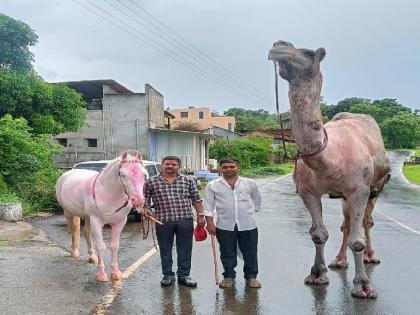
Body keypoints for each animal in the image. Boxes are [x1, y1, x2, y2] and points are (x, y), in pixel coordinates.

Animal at [55, 152, 148, 282]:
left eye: (144, 174)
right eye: (123, 174)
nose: (139, 200)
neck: (108, 193)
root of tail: (67, 174)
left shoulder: (120, 222)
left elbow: (114, 246)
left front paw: (115, 273)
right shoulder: (97, 221)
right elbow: (100, 246)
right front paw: (101, 274)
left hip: (87, 217)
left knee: (86, 232)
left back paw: (92, 257)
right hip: (69, 212)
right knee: (74, 231)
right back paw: (74, 252)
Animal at [270, 40, 390, 300]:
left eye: (306, 53)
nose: (278, 46)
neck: (327, 157)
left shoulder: (360, 189)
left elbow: (357, 239)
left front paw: (363, 286)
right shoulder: (308, 191)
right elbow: (319, 234)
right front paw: (317, 274)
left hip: (375, 188)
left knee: (366, 221)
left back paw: (371, 257)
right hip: (344, 196)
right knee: (346, 223)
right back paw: (339, 260)